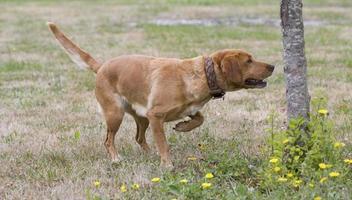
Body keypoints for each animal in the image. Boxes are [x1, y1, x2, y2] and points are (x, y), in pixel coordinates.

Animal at [46, 22, 274, 169]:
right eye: (249, 61)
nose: (272, 66)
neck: (201, 75)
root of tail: (101, 66)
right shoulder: (156, 116)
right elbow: (164, 144)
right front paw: (167, 165)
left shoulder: (184, 109)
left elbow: (199, 118)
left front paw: (183, 127)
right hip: (115, 114)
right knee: (108, 140)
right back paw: (116, 159)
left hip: (142, 117)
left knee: (139, 138)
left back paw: (149, 154)